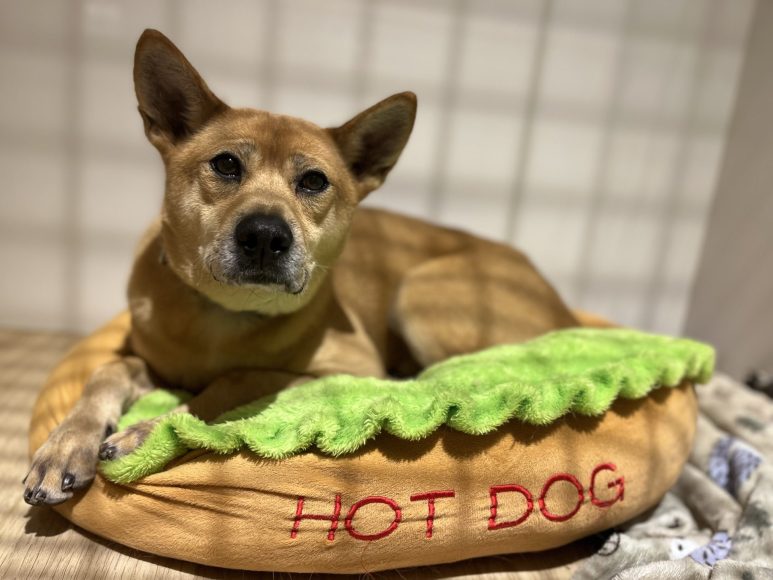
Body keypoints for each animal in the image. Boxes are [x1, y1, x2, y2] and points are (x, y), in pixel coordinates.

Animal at [23, 29, 577, 506]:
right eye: (226, 164)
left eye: (313, 180)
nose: (266, 235)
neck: (222, 318)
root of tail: (565, 307)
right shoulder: (146, 357)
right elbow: (108, 369)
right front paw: (66, 445)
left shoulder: (350, 366)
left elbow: (240, 378)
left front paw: (146, 430)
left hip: (420, 295)